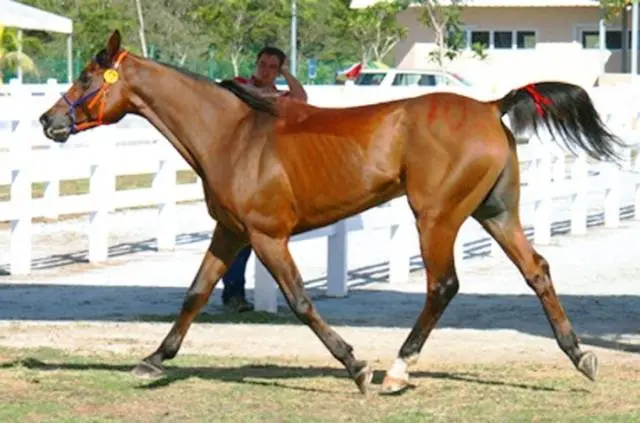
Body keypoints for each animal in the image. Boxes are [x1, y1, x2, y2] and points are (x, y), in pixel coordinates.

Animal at [37, 30, 624, 398]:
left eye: (87, 78)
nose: (48, 121)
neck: (233, 135)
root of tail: (488, 106)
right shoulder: (230, 233)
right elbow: (195, 293)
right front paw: (154, 360)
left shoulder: (267, 236)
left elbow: (300, 301)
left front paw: (357, 366)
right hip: (495, 212)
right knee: (536, 271)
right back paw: (580, 356)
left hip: (436, 216)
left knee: (443, 286)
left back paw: (397, 370)